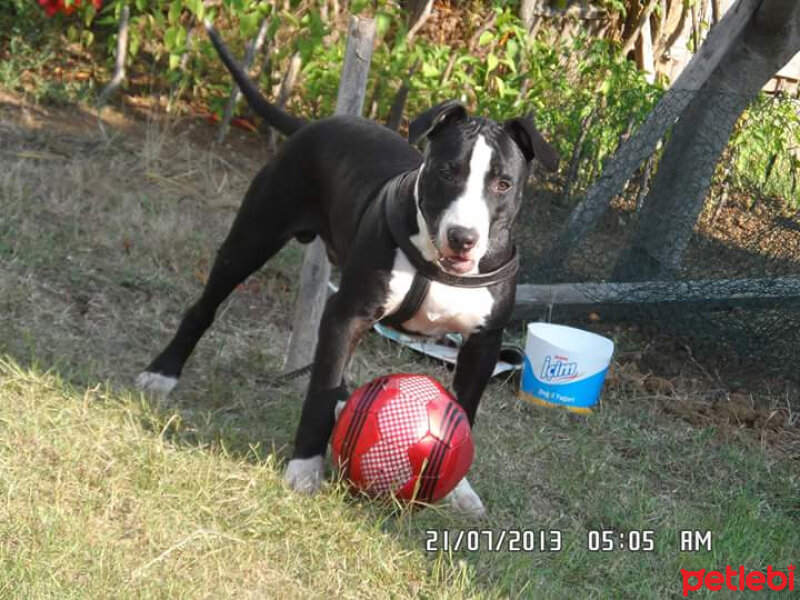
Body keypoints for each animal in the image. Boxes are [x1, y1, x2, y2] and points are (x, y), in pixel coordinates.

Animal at [136, 23, 556, 516]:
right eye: (447, 171)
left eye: (503, 184)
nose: (463, 237)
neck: (437, 265)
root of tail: (312, 124)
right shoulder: (347, 312)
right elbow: (319, 387)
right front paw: (304, 468)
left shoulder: (483, 342)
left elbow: (464, 411)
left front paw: (458, 488)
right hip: (252, 237)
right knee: (206, 306)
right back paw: (164, 372)